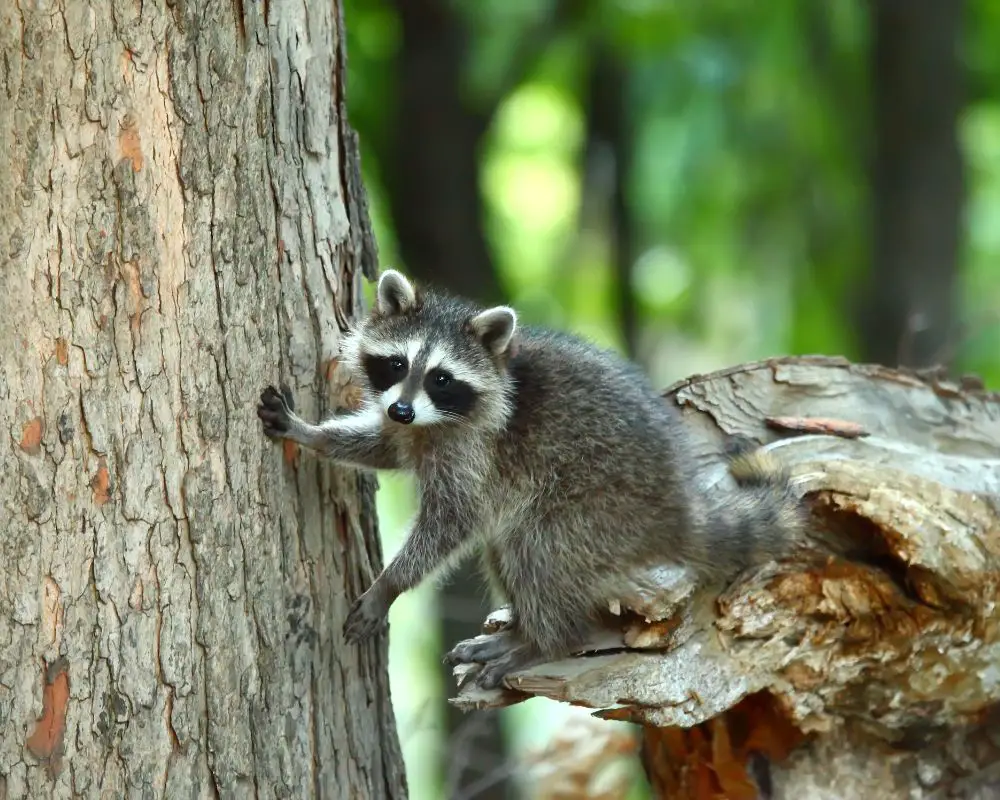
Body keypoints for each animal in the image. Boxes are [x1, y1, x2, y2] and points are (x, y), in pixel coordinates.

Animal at [260, 272, 804, 692]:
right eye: (397, 363)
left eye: (441, 378)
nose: (401, 409)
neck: (436, 421)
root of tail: (679, 506)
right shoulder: (417, 429)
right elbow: (384, 447)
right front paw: (313, 434)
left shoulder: (475, 450)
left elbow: (453, 521)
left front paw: (390, 583)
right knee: (508, 548)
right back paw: (523, 630)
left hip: (603, 506)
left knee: (538, 546)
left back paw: (548, 640)